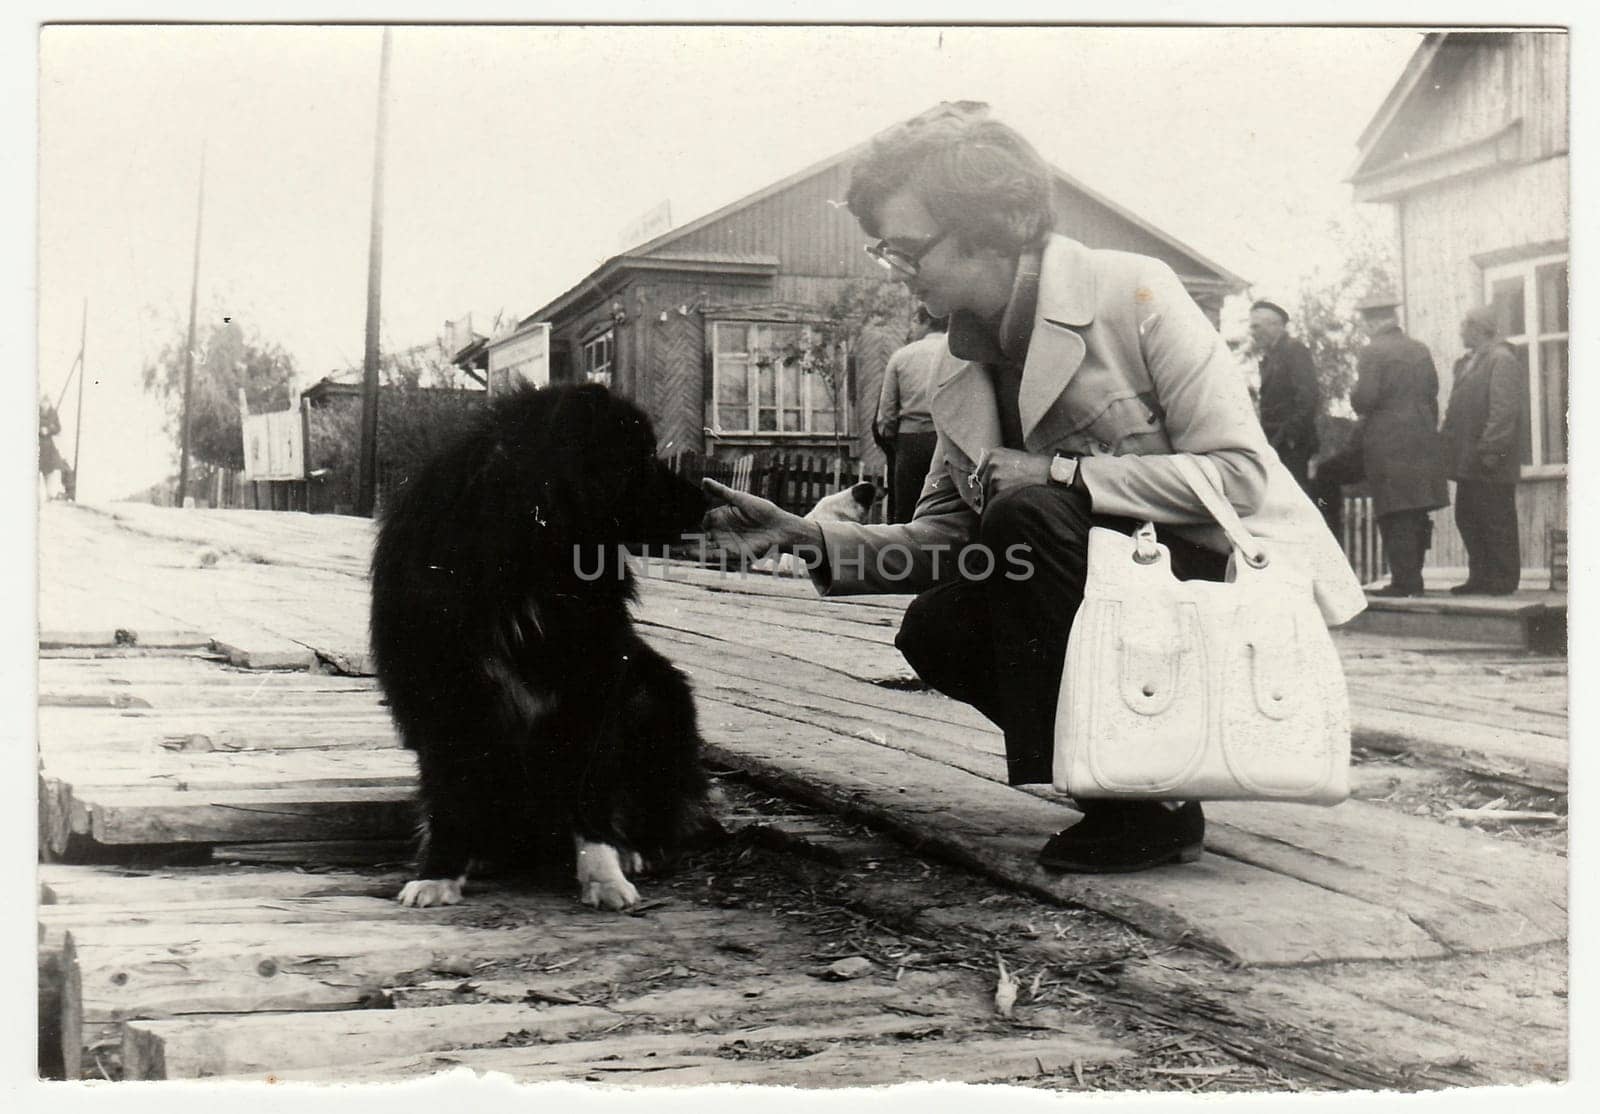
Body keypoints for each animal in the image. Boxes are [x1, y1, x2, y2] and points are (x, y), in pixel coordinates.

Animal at [371, 387, 716, 909]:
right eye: (640, 460)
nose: (707, 499)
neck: (530, 559)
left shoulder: (594, 691)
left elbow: (590, 792)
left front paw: (604, 876)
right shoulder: (443, 698)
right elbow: (449, 793)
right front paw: (439, 872)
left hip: (656, 698)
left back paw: (636, 849)